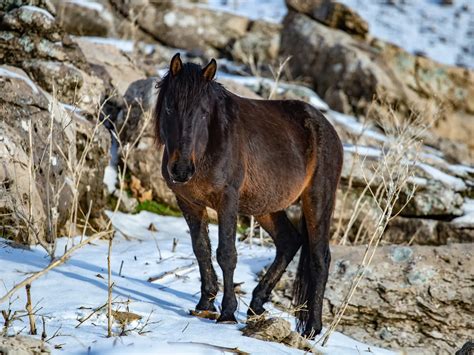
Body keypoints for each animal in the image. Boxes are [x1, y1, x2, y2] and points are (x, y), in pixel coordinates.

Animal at [154, 52, 342, 336]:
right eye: (169, 108)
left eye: (203, 113)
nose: (182, 169)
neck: (208, 147)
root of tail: (328, 129)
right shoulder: (189, 202)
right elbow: (201, 249)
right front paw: (205, 303)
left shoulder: (227, 200)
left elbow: (226, 254)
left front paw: (227, 312)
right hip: (267, 207)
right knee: (289, 241)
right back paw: (256, 305)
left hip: (318, 199)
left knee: (320, 259)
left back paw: (312, 328)